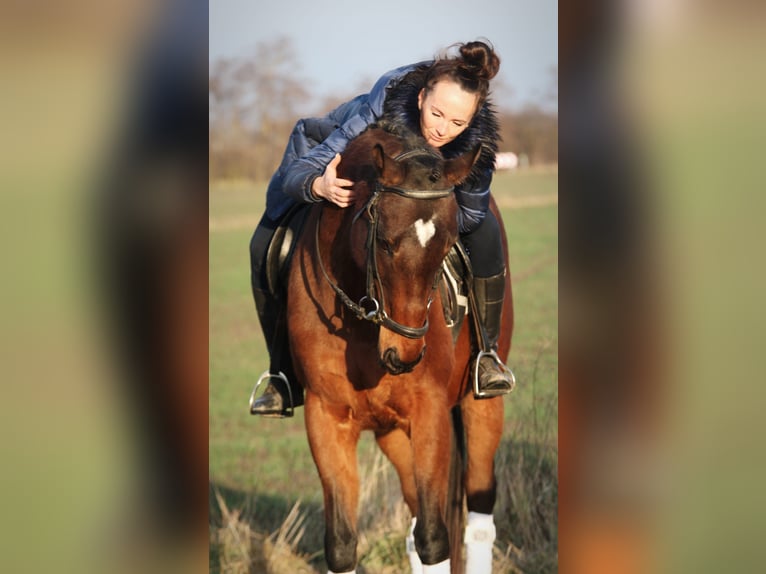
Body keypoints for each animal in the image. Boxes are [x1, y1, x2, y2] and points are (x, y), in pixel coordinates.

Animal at [284, 127, 512, 574]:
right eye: (386, 244)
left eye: (448, 246)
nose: (404, 354)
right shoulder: (325, 418)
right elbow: (342, 544)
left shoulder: (429, 413)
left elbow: (435, 539)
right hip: (392, 434)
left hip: (482, 408)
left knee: (477, 514)